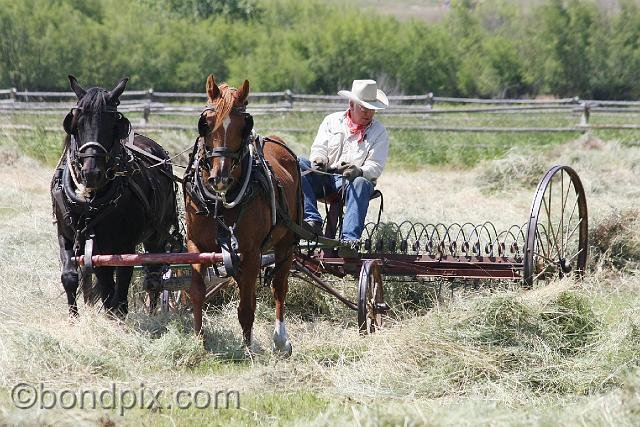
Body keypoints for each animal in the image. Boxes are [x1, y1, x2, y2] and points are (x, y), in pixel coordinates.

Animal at [51, 76, 181, 318]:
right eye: (77, 123)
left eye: (113, 124)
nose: (91, 173)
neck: (90, 201)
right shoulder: (68, 236)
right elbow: (72, 277)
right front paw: (74, 318)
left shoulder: (125, 244)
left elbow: (121, 287)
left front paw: (117, 316)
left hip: (157, 235)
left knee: (154, 274)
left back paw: (154, 313)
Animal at [181, 75, 298, 356]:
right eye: (205, 123)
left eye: (245, 125)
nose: (220, 178)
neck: (220, 203)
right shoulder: (195, 245)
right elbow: (197, 292)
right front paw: (199, 340)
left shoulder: (251, 252)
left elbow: (246, 307)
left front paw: (247, 348)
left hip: (286, 243)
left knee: (279, 286)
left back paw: (281, 339)